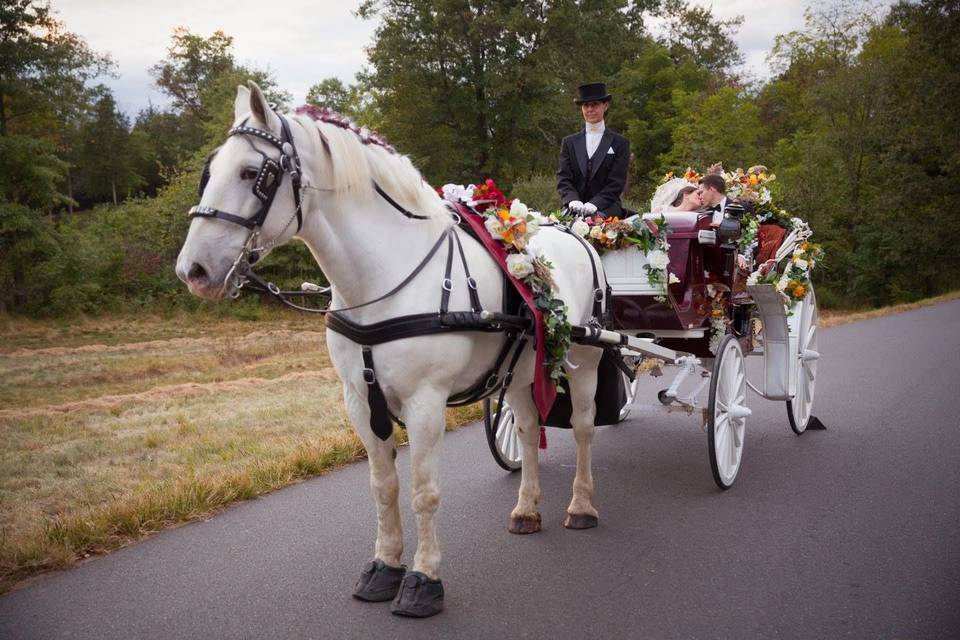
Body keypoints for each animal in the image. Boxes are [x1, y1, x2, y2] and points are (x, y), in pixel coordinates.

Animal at [176, 82, 604, 616]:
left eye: (253, 174)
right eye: (209, 172)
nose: (192, 270)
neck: (385, 277)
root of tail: (574, 233)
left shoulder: (426, 403)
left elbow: (423, 492)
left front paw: (424, 578)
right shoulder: (360, 400)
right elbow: (383, 488)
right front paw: (384, 565)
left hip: (586, 361)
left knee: (584, 428)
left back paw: (582, 505)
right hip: (523, 372)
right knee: (527, 429)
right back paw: (526, 509)